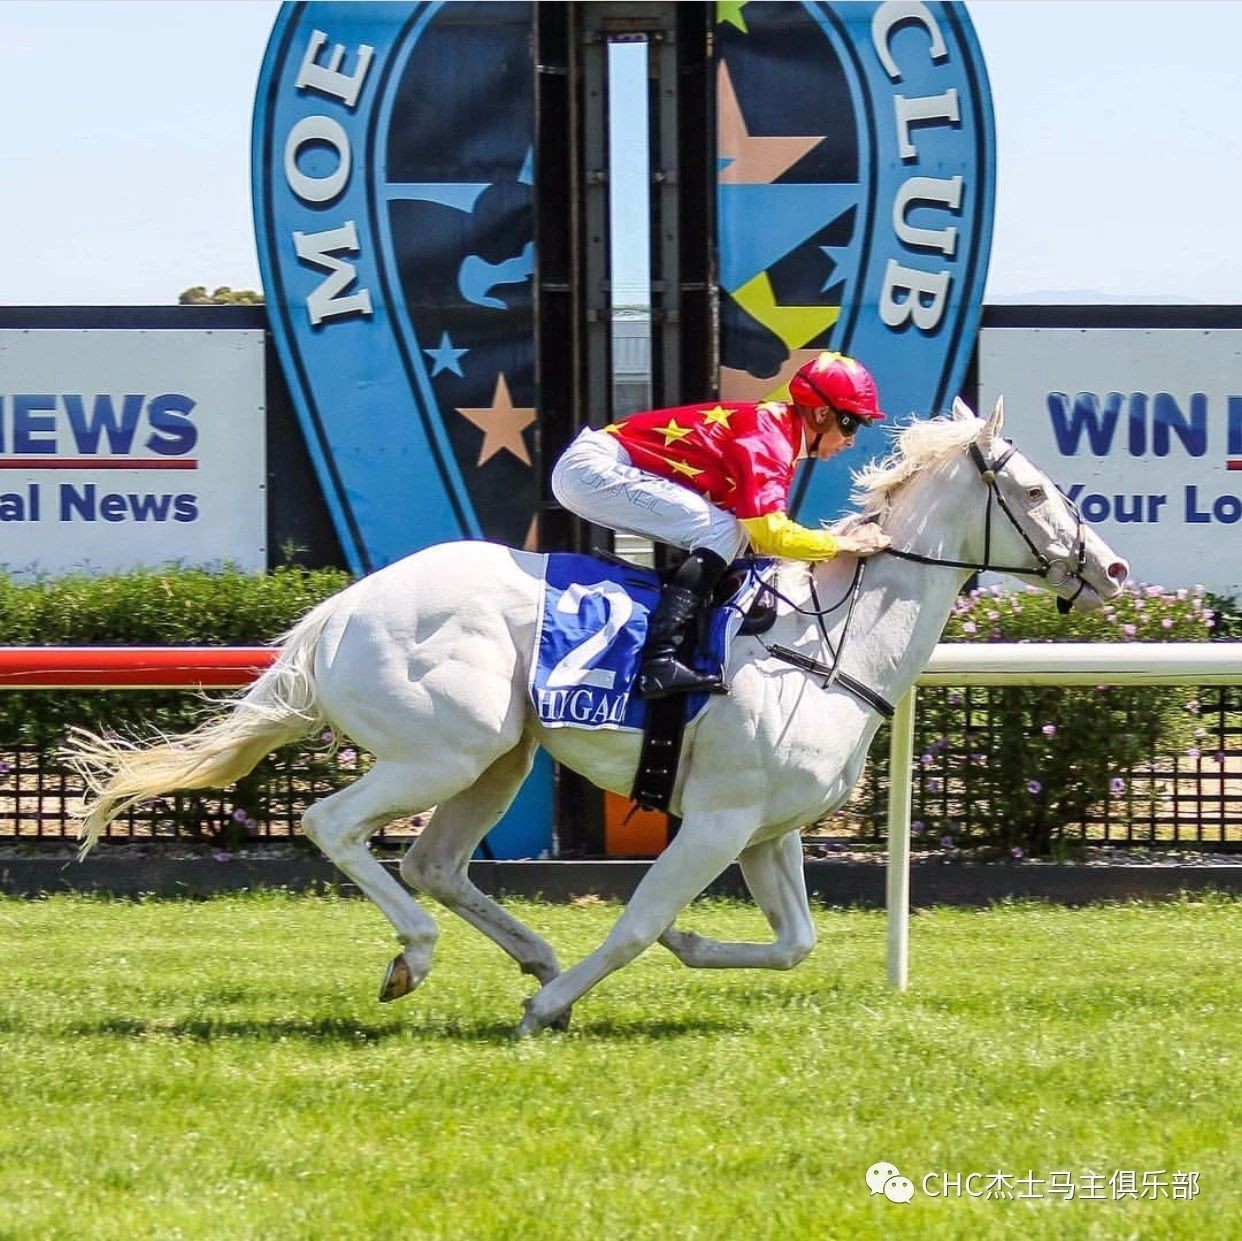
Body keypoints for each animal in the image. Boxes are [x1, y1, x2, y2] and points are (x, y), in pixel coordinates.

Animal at [69, 397, 1129, 1036]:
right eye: (1034, 489)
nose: (1112, 568)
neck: (833, 643)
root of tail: (337, 611)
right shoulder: (716, 821)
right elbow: (635, 921)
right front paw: (559, 1001)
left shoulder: (768, 828)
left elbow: (796, 942)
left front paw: (675, 952)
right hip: (441, 750)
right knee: (333, 824)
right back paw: (425, 954)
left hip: (497, 754)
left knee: (433, 861)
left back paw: (524, 953)